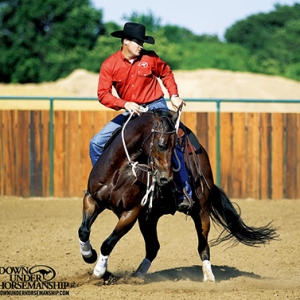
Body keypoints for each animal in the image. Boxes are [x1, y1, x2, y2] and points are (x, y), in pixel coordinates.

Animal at [77, 109, 276, 282]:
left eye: (175, 148)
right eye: (161, 144)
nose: (166, 178)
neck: (121, 170)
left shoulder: (130, 213)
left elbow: (108, 242)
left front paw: (99, 271)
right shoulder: (92, 198)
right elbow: (83, 230)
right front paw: (89, 255)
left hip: (201, 212)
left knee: (203, 246)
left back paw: (209, 277)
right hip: (149, 218)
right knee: (153, 247)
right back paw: (137, 276)